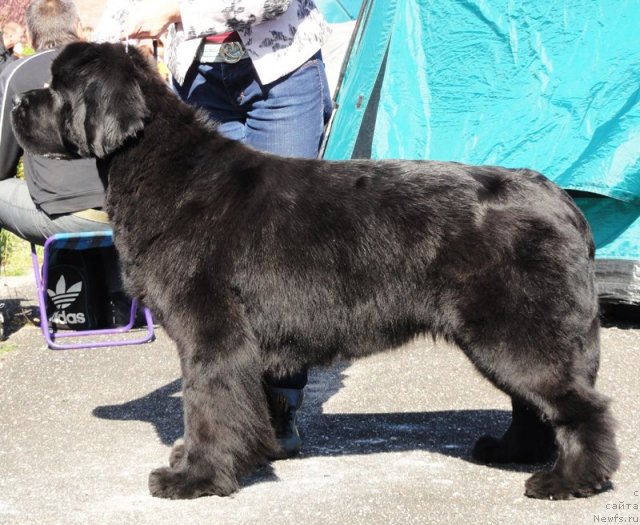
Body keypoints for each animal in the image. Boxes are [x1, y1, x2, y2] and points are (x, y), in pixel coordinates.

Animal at [11, 43, 620, 498]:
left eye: (58, 87)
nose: (17, 102)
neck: (162, 168)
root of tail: (557, 198)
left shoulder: (211, 332)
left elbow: (207, 404)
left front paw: (195, 477)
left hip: (515, 330)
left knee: (578, 406)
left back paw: (570, 480)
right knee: (533, 403)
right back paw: (512, 452)